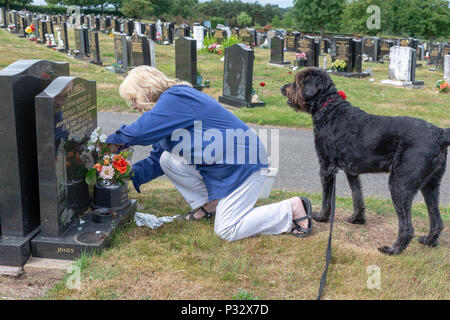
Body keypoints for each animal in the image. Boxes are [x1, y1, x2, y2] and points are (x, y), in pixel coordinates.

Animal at [282, 67, 450, 255]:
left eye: (297, 82)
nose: (283, 88)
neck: (330, 109)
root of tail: (439, 133)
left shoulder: (326, 167)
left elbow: (327, 197)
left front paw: (322, 217)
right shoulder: (352, 171)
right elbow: (357, 196)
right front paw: (357, 219)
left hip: (400, 184)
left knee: (407, 227)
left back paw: (393, 249)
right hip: (430, 185)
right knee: (437, 220)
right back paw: (429, 241)